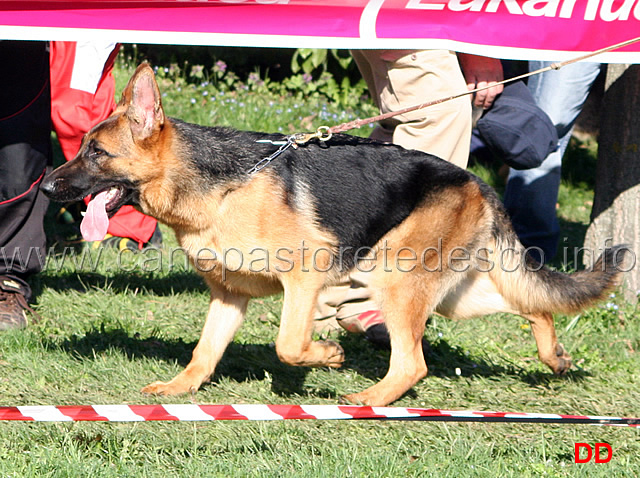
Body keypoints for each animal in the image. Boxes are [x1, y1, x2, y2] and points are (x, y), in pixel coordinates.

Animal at [41, 63, 632, 408]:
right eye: (82, 147)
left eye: (96, 153)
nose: (45, 187)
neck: (218, 186)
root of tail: (476, 182)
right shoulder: (228, 297)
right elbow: (203, 352)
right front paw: (179, 390)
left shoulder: (305, 278)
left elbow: (288, 345)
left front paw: (325, 356)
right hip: (448, 295)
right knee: (535, 306)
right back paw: (554, 357)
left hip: (397, 282)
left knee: (412, 362)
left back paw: (369, 399)